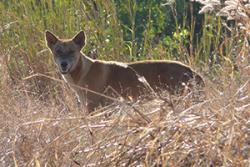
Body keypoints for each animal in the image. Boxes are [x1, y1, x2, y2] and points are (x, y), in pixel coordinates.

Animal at [45, 30, 205, 111]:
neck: (83, 72)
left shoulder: (95, 107)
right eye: (58, 52)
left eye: (72, 52)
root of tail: (192, 71)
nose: (64, 64)